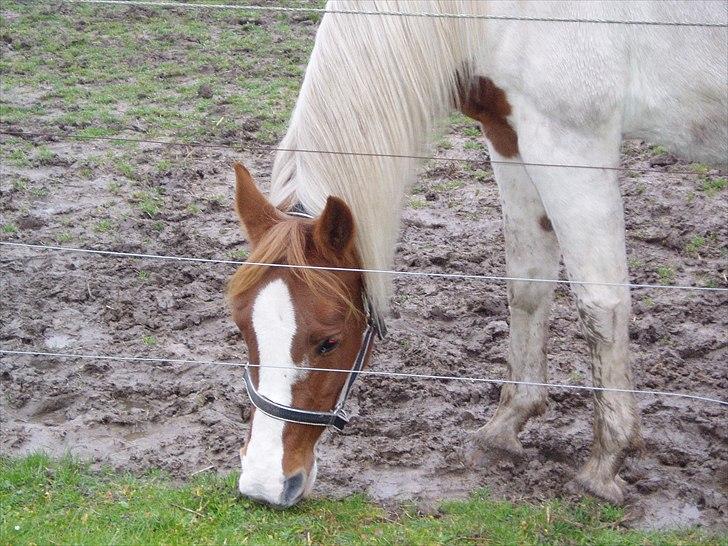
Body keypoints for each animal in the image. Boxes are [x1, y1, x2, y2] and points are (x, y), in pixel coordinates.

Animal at [225, 1, 724, 506]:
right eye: (242, 328)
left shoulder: (571, 143)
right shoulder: (509, 134)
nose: (264, 483)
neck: (495, 16)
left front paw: (606, 462)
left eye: (328, 341)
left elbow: (600, 303)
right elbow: (527, 284)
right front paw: (506, 425)